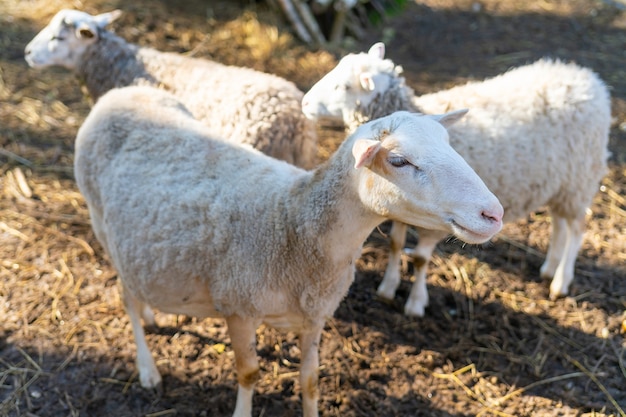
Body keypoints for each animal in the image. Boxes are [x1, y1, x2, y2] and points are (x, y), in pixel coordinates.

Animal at [73, 84, 502, 416]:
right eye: (398, 160)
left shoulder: (315, 316)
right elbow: (248, 373)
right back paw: (147, 367)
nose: (493, 214)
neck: (293, 224)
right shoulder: (238, 306)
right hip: (102, 225)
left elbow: (310, 382)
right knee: (126, 298)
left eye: (449, 144)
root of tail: (119, 92)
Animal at [302, 42, 608, 316]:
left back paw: (561, 281)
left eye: (342, 87)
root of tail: (586, 77)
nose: (304, 102)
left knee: (577, 229)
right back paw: (549, 268)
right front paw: (388, 288)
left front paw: (415, 303)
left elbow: (420, 259)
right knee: (558, 223)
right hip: (560, 183)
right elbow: (395, 245)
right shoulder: (401, 208)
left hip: (581, 178)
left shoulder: (434, 223)